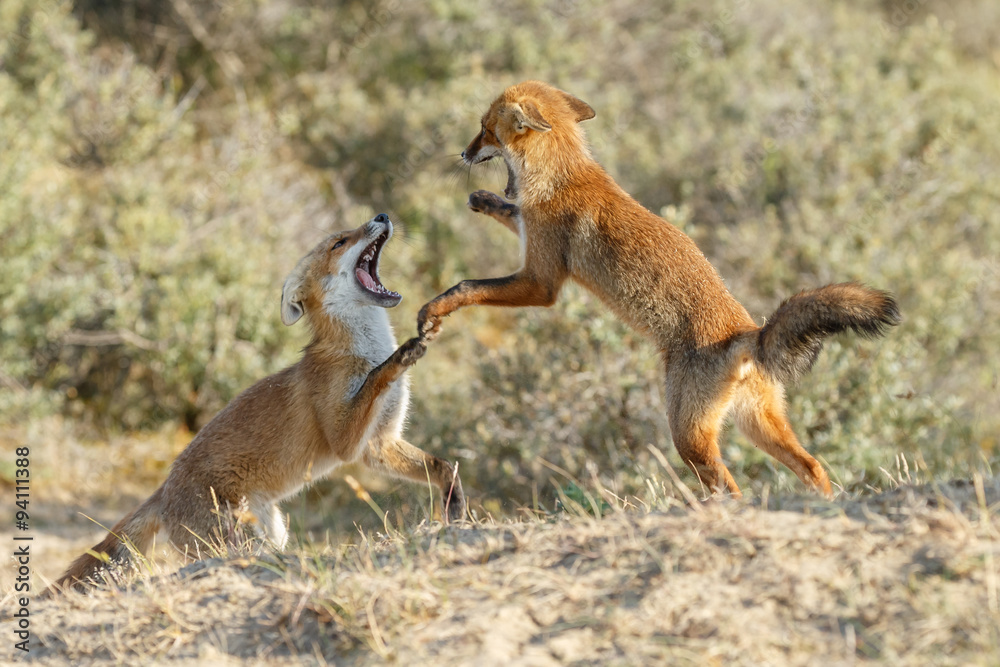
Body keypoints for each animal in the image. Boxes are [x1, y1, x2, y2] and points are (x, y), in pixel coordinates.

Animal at [51, 214, 465, 593]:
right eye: (339, 242)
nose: (381, 215)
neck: (359, 350)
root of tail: (163, 488)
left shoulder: (378, 445)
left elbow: (441, 467)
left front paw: (455, 505)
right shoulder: (345, 441)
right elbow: (377, 377)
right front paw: (401, 354)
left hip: (274, 531)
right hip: (238, 540)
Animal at [417, 80, 900, 498]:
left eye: (484, 128)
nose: (463, 153)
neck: (564, 174)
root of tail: (747, 335)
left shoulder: (542, 282)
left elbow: (467, 285)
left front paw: (434, 311)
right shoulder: (532, 241)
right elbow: (509, 212)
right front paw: (484, 200)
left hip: (688, 438)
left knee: (732, 488)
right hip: (757, 424)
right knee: (813, 465)